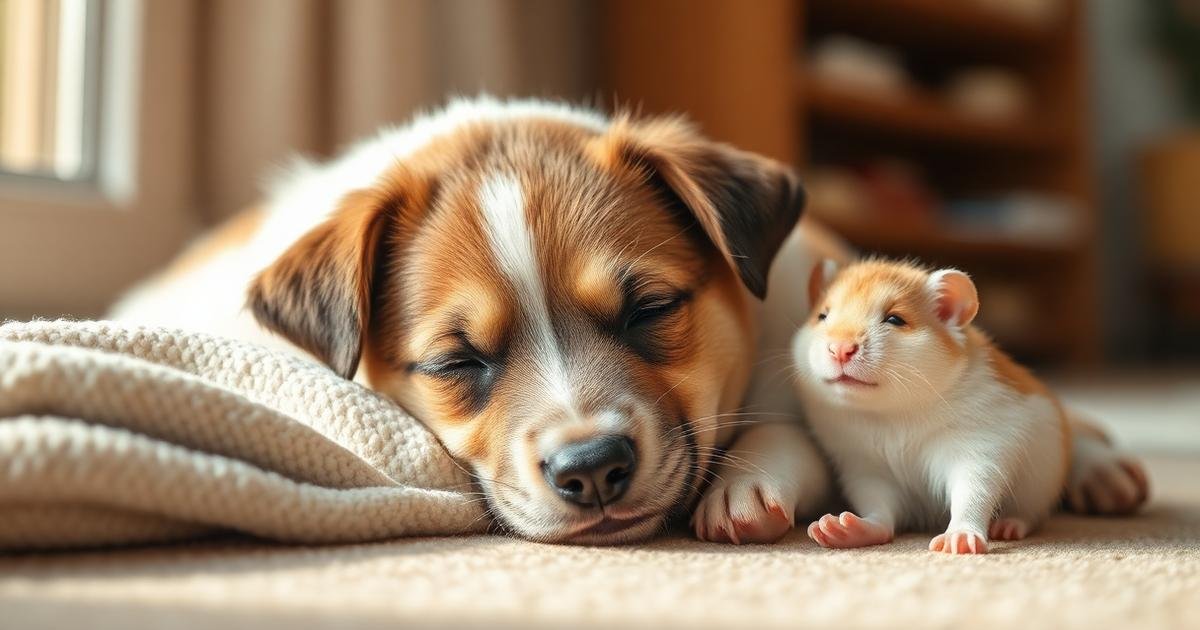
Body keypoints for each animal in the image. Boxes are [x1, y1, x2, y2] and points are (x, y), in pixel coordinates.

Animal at [792, 258, 1069, 554]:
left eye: (895, 319)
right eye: (822, 316)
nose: (840, 349)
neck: (893, 412)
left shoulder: (980, 446)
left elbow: (973, 490)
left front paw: (959, 537)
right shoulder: (867, 467)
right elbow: (879, 506)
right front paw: (843, 529)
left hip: (1041, 484)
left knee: (1029, 515)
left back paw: (1008, 526)